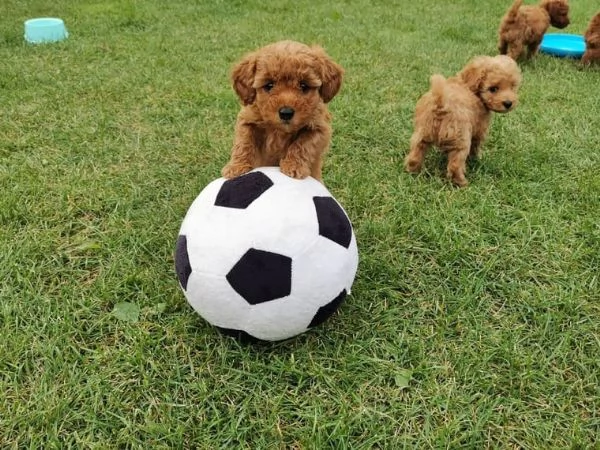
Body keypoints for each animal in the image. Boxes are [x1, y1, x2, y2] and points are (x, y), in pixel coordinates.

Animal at [219, 40, 342, 181]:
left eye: (304, 85)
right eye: (269, 85)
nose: (286, 113)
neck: (280, 130)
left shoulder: (319, 128)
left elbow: (303, 144)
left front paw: (293, 165)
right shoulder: (247, 120)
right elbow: (244, 142)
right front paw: (237, 166)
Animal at [406, 55, 524, 186]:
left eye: (512, 86)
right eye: (493, 89)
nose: (508, 103)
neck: (468, 84)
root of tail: (441, 104)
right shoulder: (479, 129)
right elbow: (476, 145)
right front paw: (477, 158)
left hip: (422, 133)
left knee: (415, 154)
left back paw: (413, 171)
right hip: (461, 139)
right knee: (455, 165)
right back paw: (462, 183)